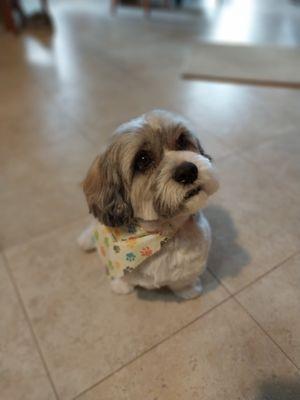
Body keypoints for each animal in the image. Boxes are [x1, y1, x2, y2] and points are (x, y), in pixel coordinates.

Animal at [77, 111, 218, 298]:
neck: (159, 235)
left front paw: (189, 290)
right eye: (143, 159)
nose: (188, 171)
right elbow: (121, 278)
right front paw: (121, 286)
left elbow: (184, 279)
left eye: (182, 141)